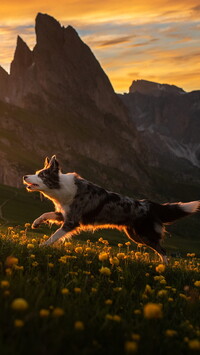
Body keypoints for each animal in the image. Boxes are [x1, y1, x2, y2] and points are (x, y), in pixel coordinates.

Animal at [23, 156, 200, 264]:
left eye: (41, 175)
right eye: (37, 173)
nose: (24, 176)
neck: (62, 188)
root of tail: (148, 205)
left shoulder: (72, 221)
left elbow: (54, 236)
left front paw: (42, 246)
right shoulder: (65, 214)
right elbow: (46, 214)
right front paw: (36, 223)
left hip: (145, 235)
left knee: (163, 250)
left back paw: (164, 268)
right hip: (135, 235)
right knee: (159, 249)